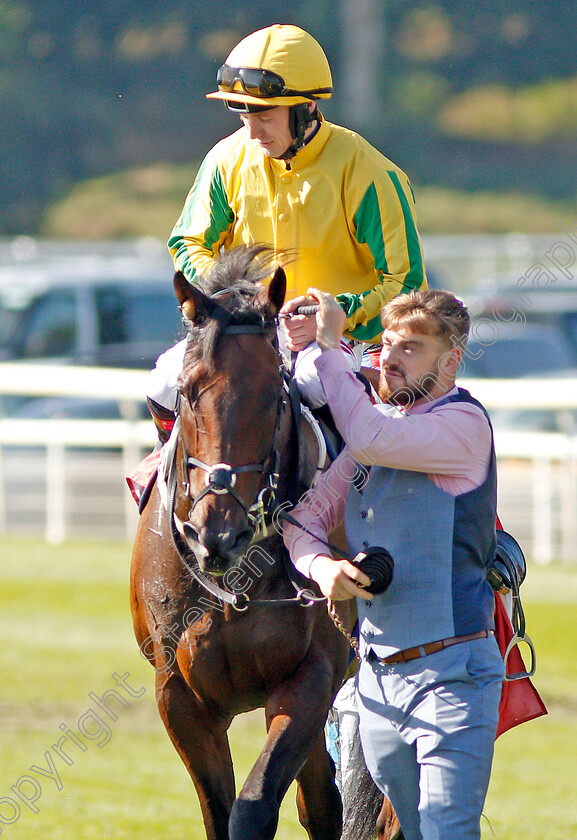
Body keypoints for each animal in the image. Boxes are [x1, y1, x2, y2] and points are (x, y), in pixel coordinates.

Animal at [130, 246, 400, 840]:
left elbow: (253, 807)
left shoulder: (312, 676)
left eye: (275, 394)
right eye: (187, 392)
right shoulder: (179, 694)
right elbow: (219, 809)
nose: (217, 534)